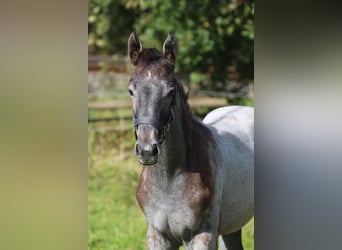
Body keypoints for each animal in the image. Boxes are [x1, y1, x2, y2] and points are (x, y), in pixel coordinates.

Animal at [127, 32, 252, 249]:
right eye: (131, 91)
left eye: (170, 91)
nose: (146, 150)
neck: (170, 179)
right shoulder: (157, 236)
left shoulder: (203, 236)